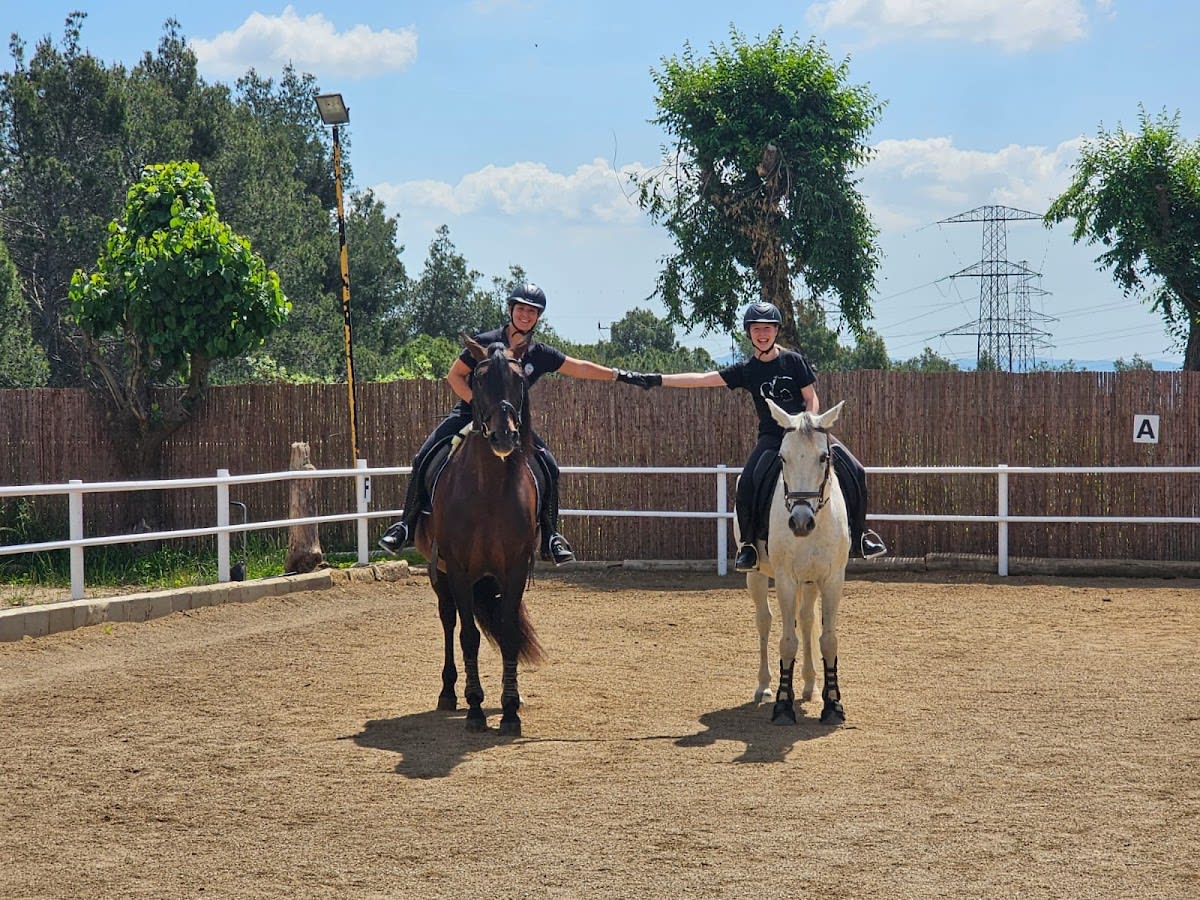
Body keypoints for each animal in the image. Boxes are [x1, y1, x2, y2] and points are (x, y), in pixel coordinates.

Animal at [414, 335, 543, 736]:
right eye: (480, 380)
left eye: (520, 380)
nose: (504, 435)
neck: (488, 491)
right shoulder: (457, 568)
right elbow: (468, 636)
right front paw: (474, 707)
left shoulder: (514, 568)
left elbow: (509, 632)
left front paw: (511, 709)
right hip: (439, 574)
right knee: (449, 620)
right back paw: (448, 693)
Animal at [737, 399, 851, 726]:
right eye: (782, 458)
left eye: (823, 457)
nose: (801, 522)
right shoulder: (786, 580)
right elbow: (787, 641)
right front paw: (782, 705)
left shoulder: (832, 580)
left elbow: (828, 639)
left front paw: (833, 704)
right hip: (756, 576)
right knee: (764, 621)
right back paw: (763, 686)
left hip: (810, 581)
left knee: (807, 618)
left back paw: (811, 685)